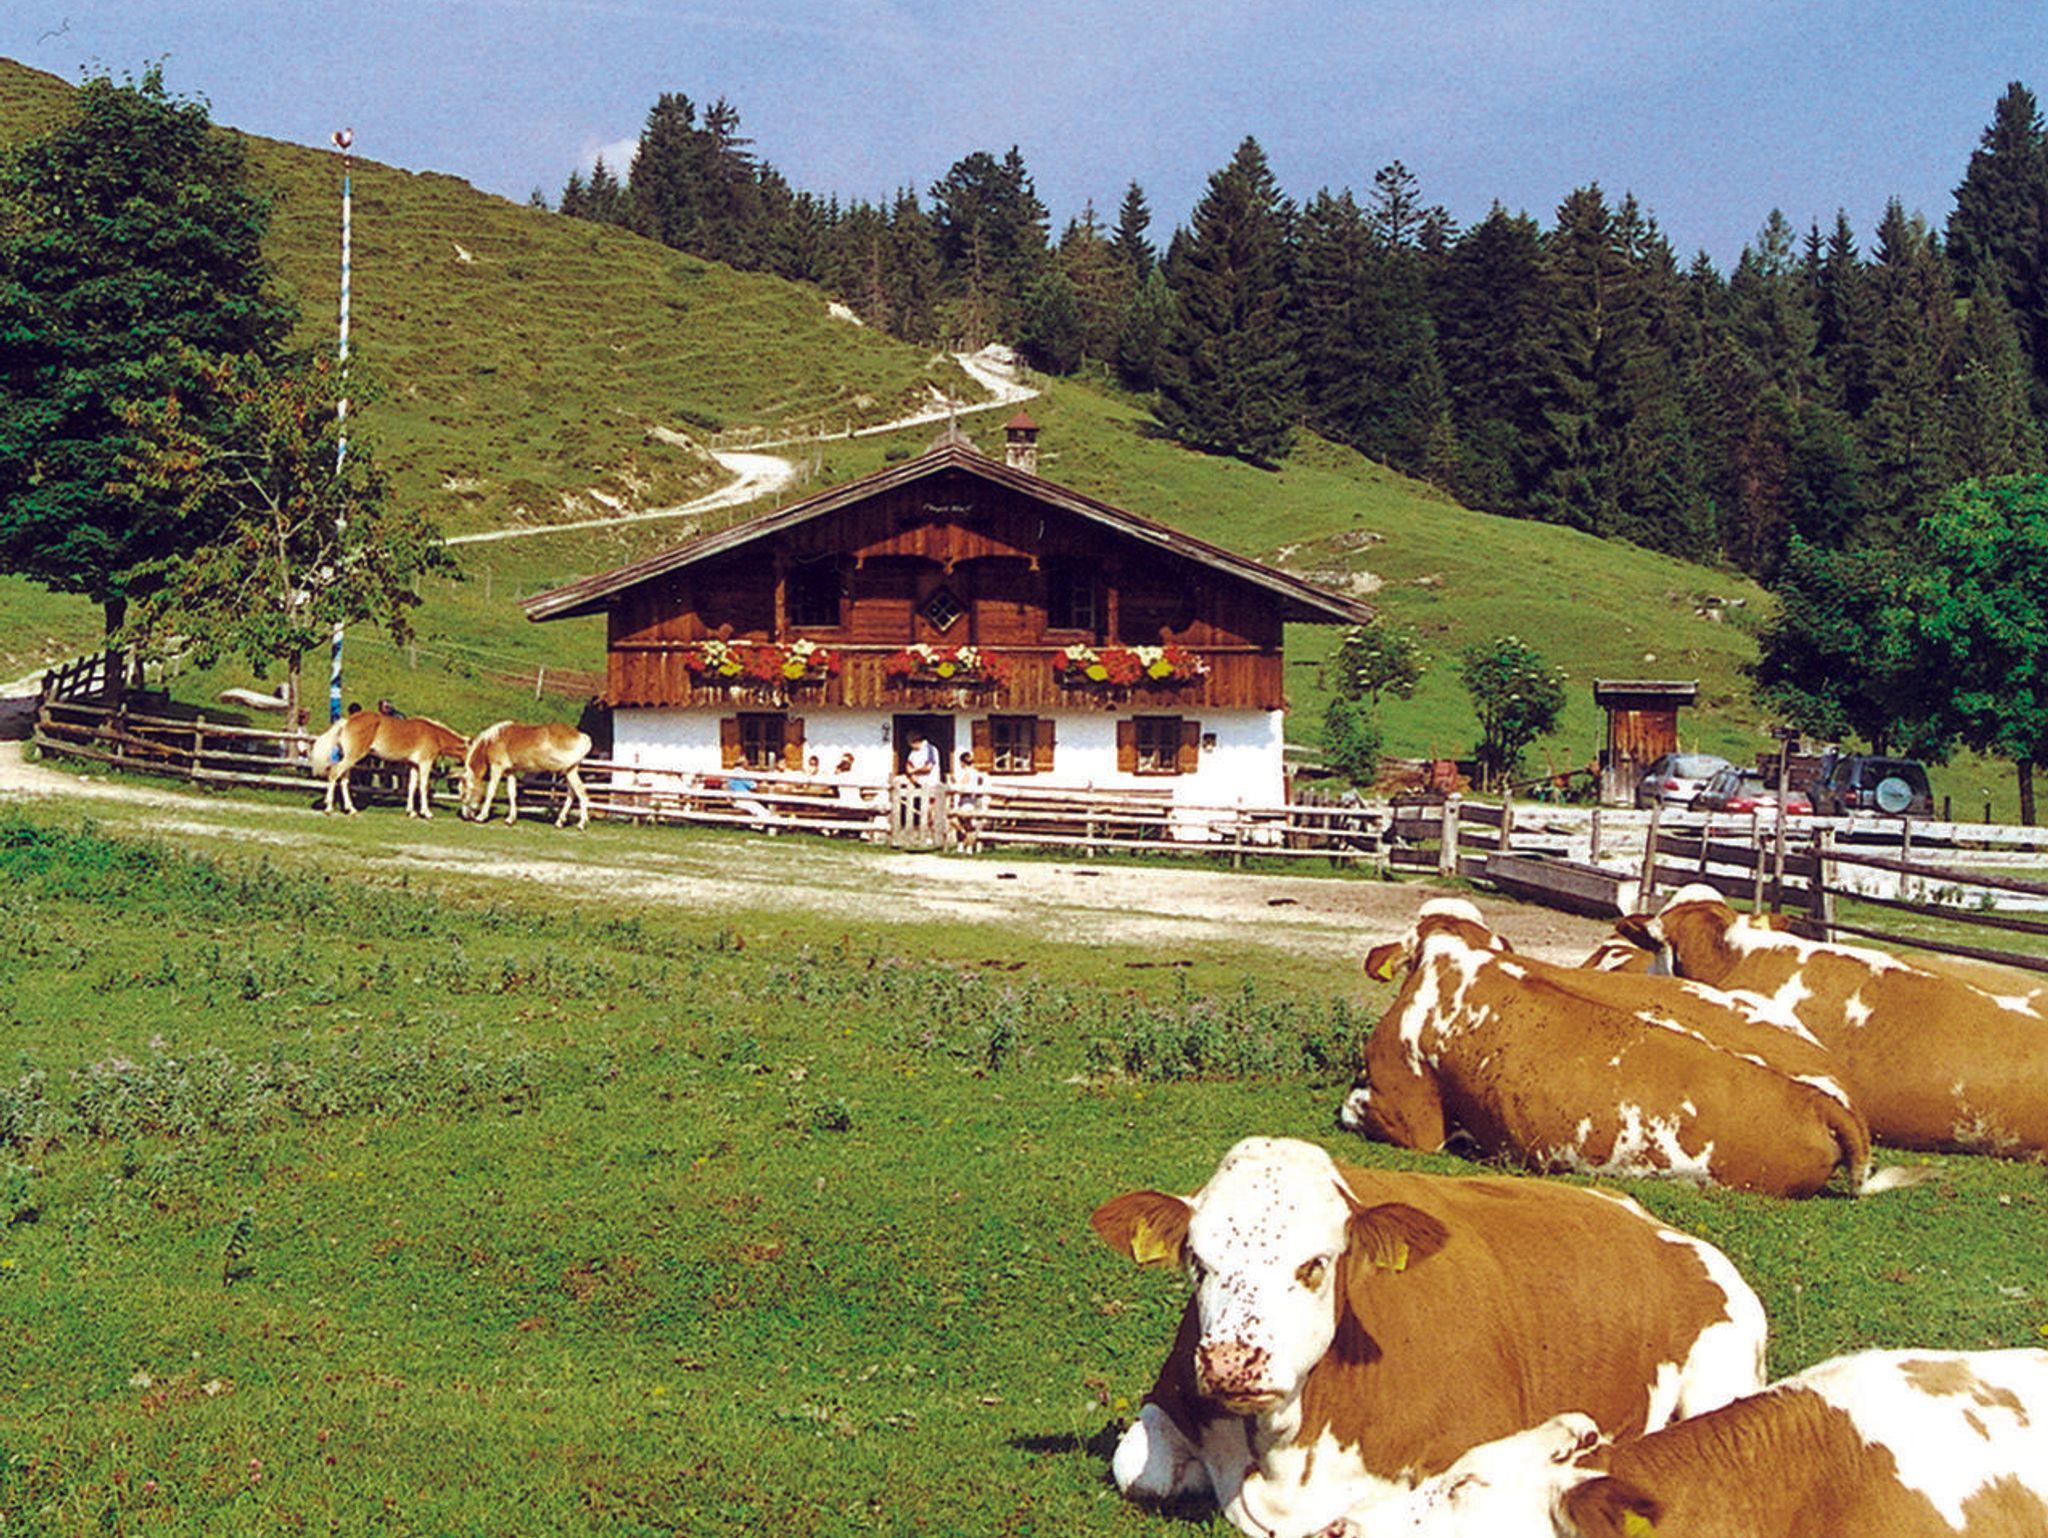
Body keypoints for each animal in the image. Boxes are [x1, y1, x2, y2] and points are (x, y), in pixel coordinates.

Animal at [308, 710, 468, 818]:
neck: (434, 735)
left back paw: (351, 809)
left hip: (350, 759)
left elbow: (411, 787)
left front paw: (411, 812)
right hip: (352, 757)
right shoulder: (424, 764)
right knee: (334, 774)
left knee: (344, 780)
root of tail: (347, 721)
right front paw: (426, 812)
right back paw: (329, 808)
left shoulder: (414, 765)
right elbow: (423, 787)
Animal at [459, 720, 594, 828]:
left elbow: (490, 791)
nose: (465, 816)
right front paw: (510, 819)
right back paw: (560, 821)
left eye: (464, 794)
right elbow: (512, 793)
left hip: (569, 771)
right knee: (572, 794)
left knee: (581, 793)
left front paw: (481, 816)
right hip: (569, 771)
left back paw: (581, 824)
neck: (492, 740)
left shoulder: (497, 768)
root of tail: (581, 735)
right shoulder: (510, 771)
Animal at [1090, 1135, 1767, 1538]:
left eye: (1315, 1265)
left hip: (1724, 1371)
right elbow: (1138, 1471)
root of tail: (1651, 1221)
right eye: (1198, 1263)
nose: (1233, 1362)